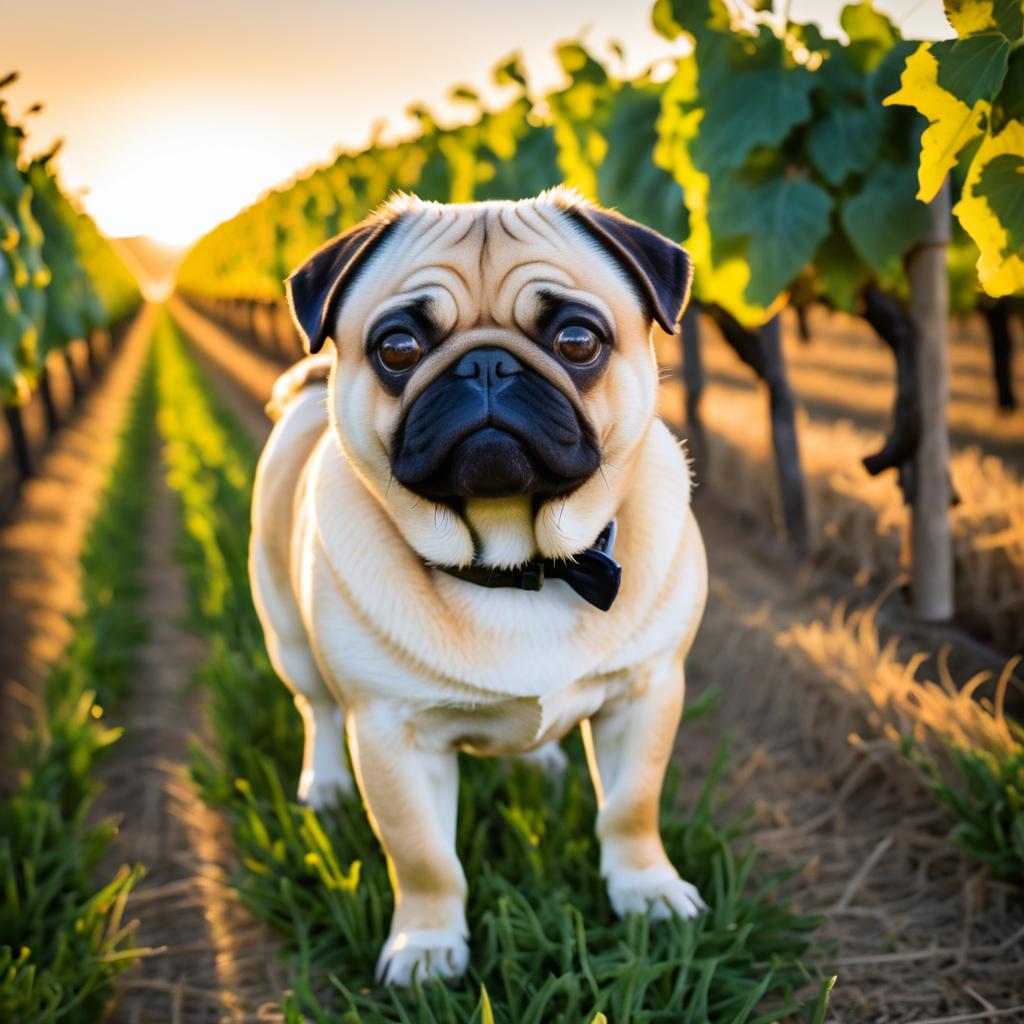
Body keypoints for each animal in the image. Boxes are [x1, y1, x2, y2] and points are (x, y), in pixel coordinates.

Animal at [251, 184, 708, 983]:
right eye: (398, 349)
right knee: (319, 714)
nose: (486, 365)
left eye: (578, 342)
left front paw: (646, 893)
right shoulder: (391, 733)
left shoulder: (647, 690)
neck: (517, 568)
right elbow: (424, 856)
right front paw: (428, 946)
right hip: (289, 640)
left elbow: (631, 807)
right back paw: (327, 786)